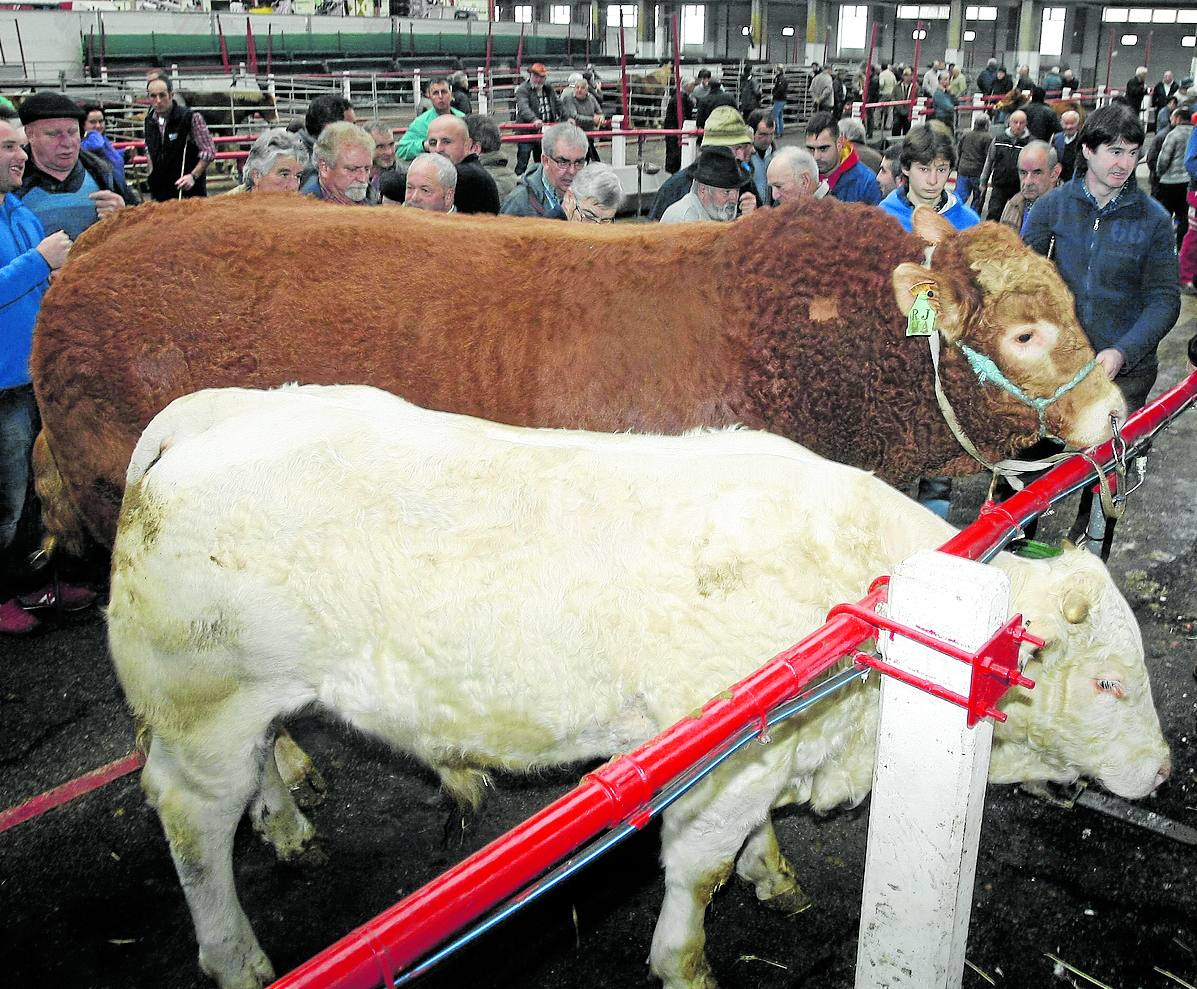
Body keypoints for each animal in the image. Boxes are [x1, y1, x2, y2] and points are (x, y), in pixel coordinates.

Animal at [107, 383, 1173, 986]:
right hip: (202, 709)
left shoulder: (764, 745)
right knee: (194, 827)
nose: (1163, 772)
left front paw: (772, 871)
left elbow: (749, 842)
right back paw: (236, 955)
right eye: (1110, 683)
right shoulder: (717, 759)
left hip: (243, 706)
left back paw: (288, 827)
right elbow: (698, 869)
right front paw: (688, 961)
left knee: (258, 773)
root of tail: (193, 429)